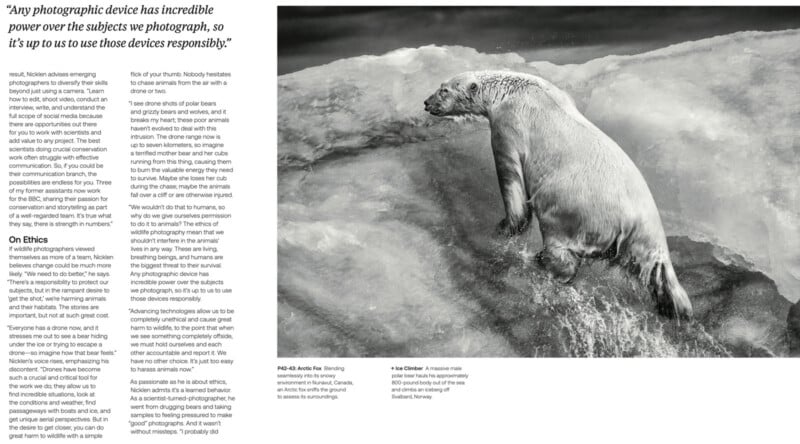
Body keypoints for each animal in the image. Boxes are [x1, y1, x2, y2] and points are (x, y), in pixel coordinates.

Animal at [424, 70, 692, 320]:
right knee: (658, 272)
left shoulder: (509, 125)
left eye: (444, 90)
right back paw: (676, 307)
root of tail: (632, 223)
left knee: (560, 246)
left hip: (573, 211)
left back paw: (541, 260)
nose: (426, 102)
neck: (511, 90)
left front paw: (505, 227)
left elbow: (510, 177)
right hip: (646, 238)